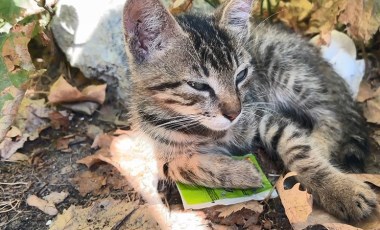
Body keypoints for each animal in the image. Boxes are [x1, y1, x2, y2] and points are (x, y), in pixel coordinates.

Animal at [122, 0, 378, 222]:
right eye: (198, 86)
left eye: (241, 75)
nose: (234, 113)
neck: (207, 131)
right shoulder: (161, 147)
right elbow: (179, 167)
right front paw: (244, 173)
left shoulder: (260, 113)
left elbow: (298, 149)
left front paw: (339, 189)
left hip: (290, 74)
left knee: (332, 117)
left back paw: (319, 143)